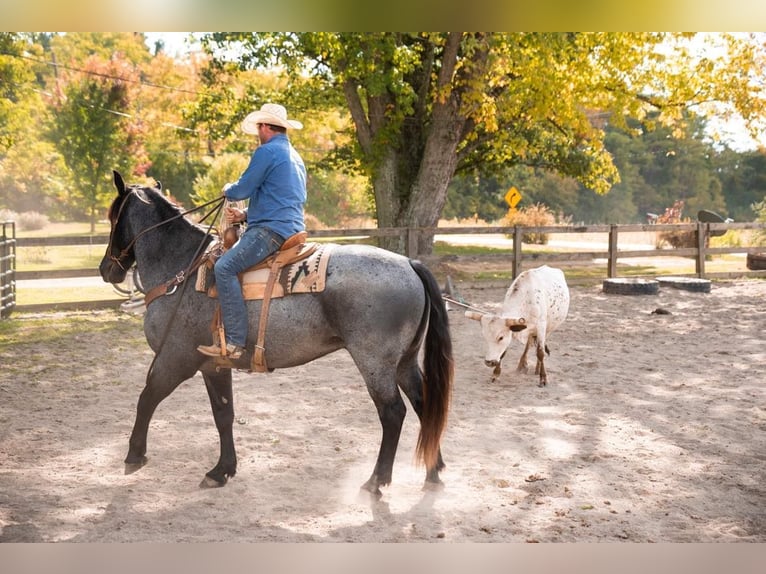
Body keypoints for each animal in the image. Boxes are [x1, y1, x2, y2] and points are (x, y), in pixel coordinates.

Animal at [98, 172, 452, 500]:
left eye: (114, 217)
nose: (105, 269)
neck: (181, 269)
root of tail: (410, 263)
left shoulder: (176, 358)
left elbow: (146, 399)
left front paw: (134, 455)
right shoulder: (214, 365)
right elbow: (224, 414)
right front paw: (222, 470)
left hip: (375, 364)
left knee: (393, 414)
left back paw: (376, 481)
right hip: (405, 362)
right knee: (425, 406)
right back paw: (433, 472)